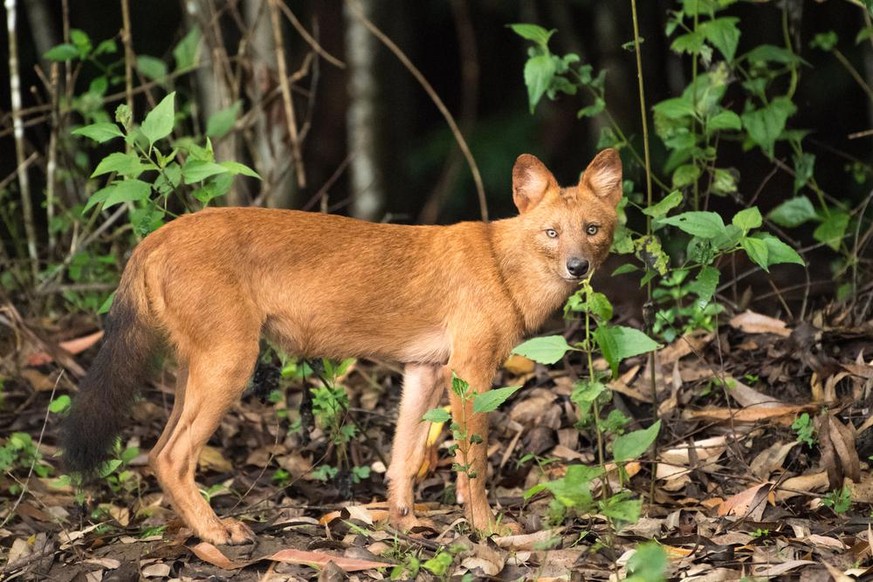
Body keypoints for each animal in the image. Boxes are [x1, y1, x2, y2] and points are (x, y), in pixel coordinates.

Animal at [63, 148, 620, 544]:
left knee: (156, 452)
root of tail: (154, 237)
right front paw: (486, 529)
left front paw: (404, 524)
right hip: (231, 365)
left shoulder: (424, 370)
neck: (504, 267)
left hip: (195, 370)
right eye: (551, 233)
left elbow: (402, 460)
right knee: (173, 456)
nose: (578, 267)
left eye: (592, 230)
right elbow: (473, 463)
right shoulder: (471, 372)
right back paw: (217, 534)